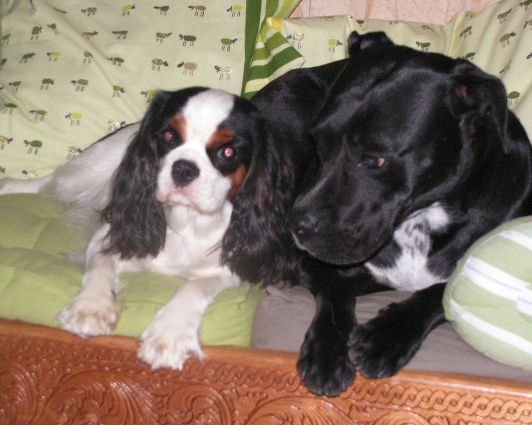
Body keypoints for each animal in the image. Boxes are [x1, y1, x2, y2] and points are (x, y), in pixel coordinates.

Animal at [0, 87, 263, 370]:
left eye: (228, 152)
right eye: (168, 136)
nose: (183, 168)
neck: (186, 218)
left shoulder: (230, 269)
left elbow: (194, 287)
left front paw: (168, 336)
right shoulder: (111, 235)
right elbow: (99, 265)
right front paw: (90, 308)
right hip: (88, 173)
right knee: (42, 185)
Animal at [222, 31, 532, 396]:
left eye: (374, 160)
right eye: (318, 142)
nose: (296, 227)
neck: (421, 219)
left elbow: (439, 293)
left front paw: (385, 337)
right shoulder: (317, 263)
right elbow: (335, 292)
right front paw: (327, 353)